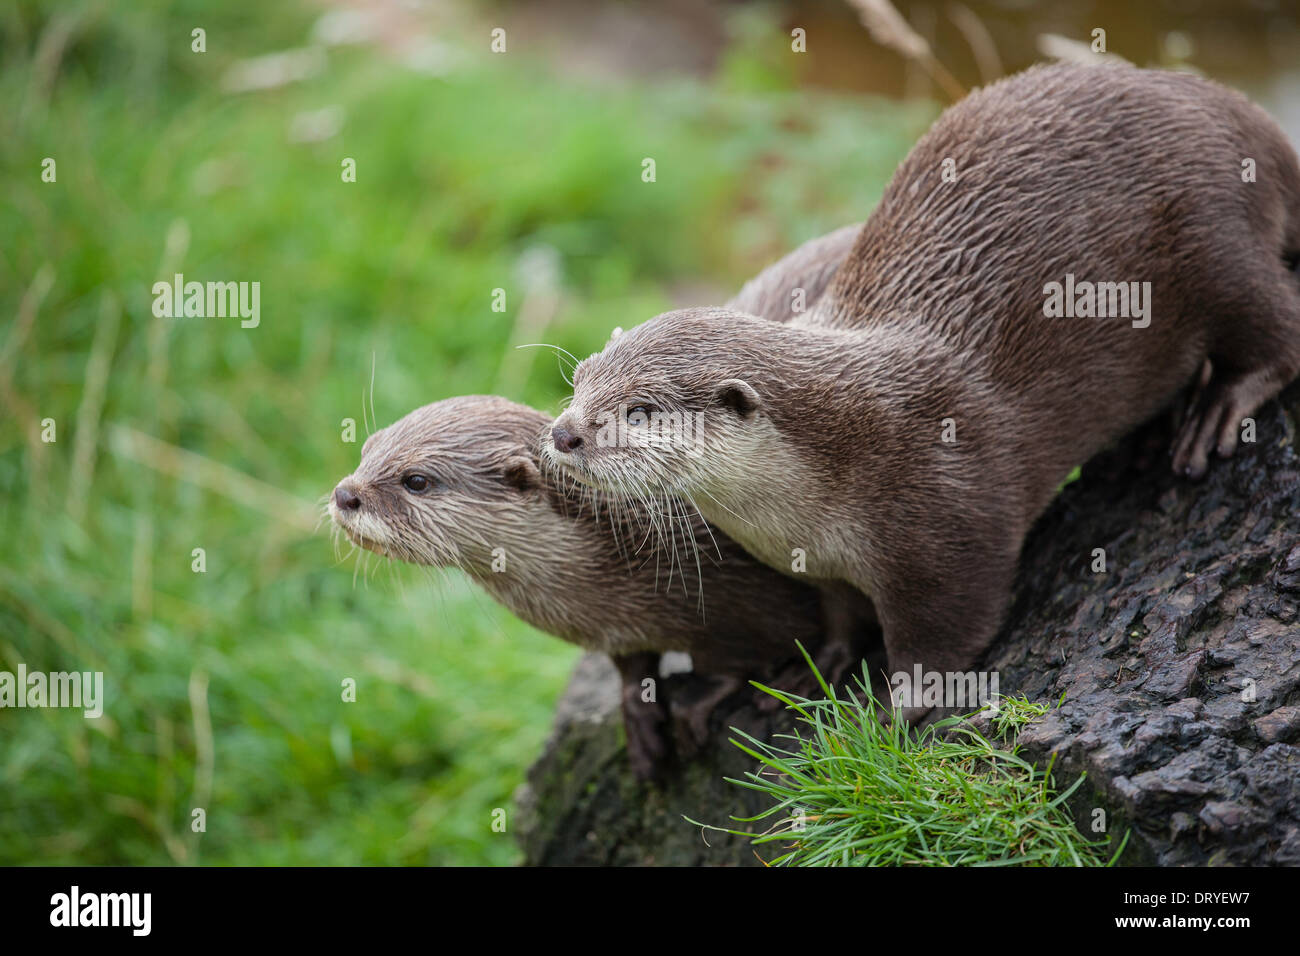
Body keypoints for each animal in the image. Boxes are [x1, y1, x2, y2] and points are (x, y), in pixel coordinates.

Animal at [330, 223, 868, 780]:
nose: (345, 494)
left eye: (415, 480)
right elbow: (633, 667)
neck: (640, 559)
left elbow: (737, 660)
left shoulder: (751, 600)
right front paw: (640, 719)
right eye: (367, 448)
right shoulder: (622, 632)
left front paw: (703, 700)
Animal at [546, 63, 1300, 707]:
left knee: (1275, 325)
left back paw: (1217, 412)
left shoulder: (948, 516)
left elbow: (944, 629)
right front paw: (817, 665)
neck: (833, 465)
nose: (563, 433)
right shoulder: (820, 564)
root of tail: (1240, 114)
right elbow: (843, 614)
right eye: (580, 380)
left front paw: (903, 703)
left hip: (1212, 235)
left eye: (640, 410)